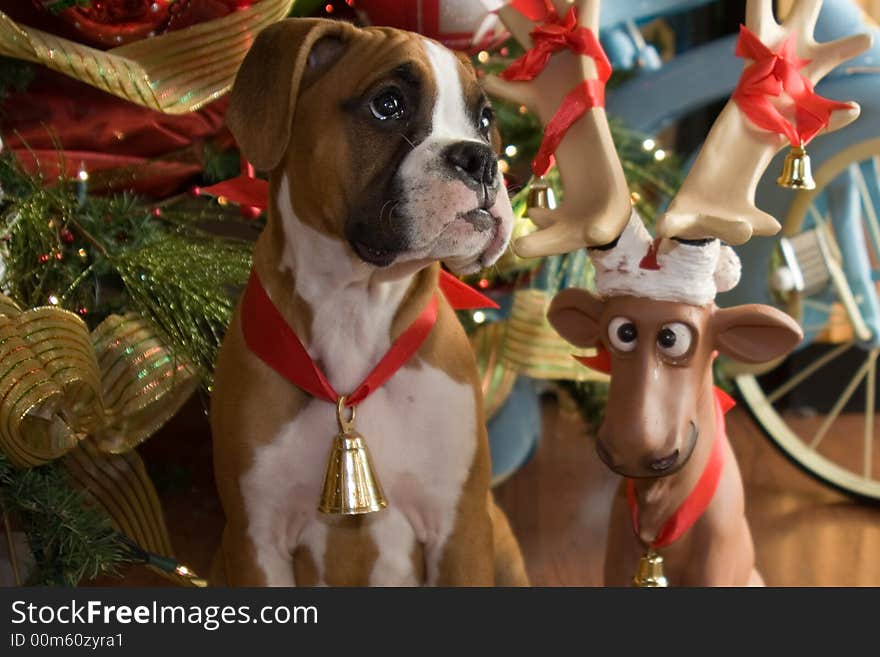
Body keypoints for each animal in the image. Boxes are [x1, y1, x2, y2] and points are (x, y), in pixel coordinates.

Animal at [211, 19, 528, 584]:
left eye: (485, 119)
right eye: (388, 104)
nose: (481, 158)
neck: (355, 309)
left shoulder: (461, 529)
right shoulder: (255, 541)